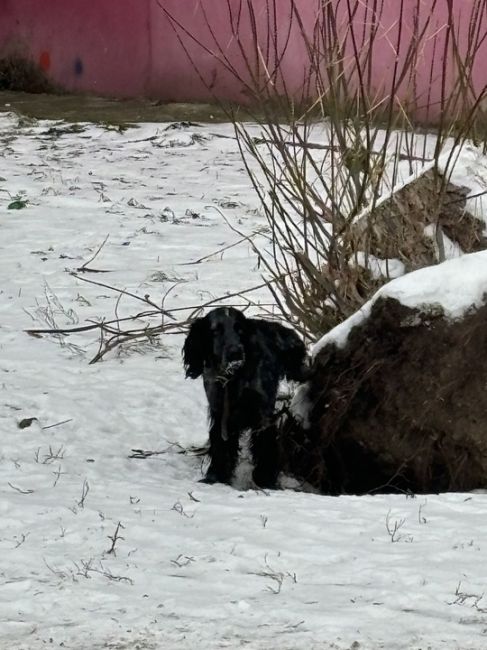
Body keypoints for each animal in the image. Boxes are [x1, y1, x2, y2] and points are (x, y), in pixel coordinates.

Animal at [185, 306, 306, 484]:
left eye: (240, 329)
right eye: (216, 330)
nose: (235, 353)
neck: (233, 378)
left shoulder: (262, 414)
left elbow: (265, 445)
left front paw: (265, 479)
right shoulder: (220, 415)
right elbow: (220, 445)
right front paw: (215, 476)